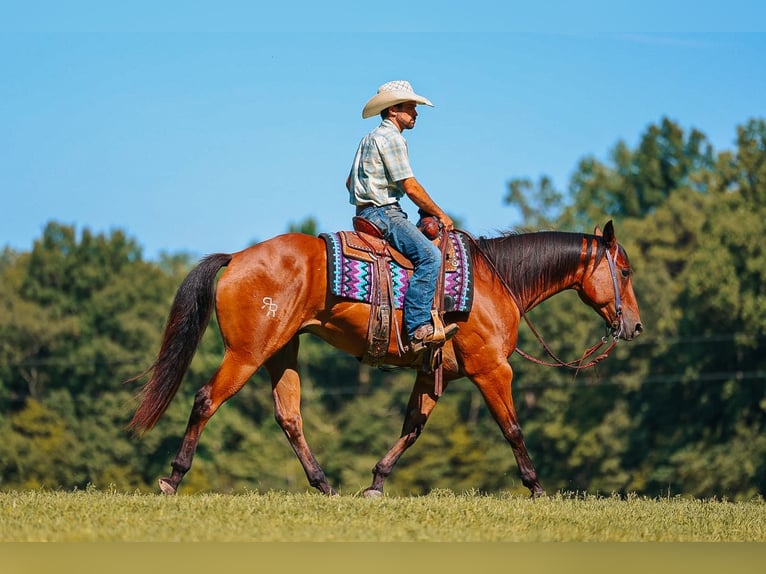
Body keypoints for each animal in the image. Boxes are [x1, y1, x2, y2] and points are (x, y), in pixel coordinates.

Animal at [129, 220, 642, 497]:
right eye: (624, 271)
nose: (634, 326)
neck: (496, 283)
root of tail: (236, 257)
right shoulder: (493, 369)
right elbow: (512, 428)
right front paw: (536, 486)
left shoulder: (435, 374)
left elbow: (412, 428)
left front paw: (375, 482)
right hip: (247, 353)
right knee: (205, 400)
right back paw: (173, 477)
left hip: (281, 352)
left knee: (289, 417)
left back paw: (325, 485)